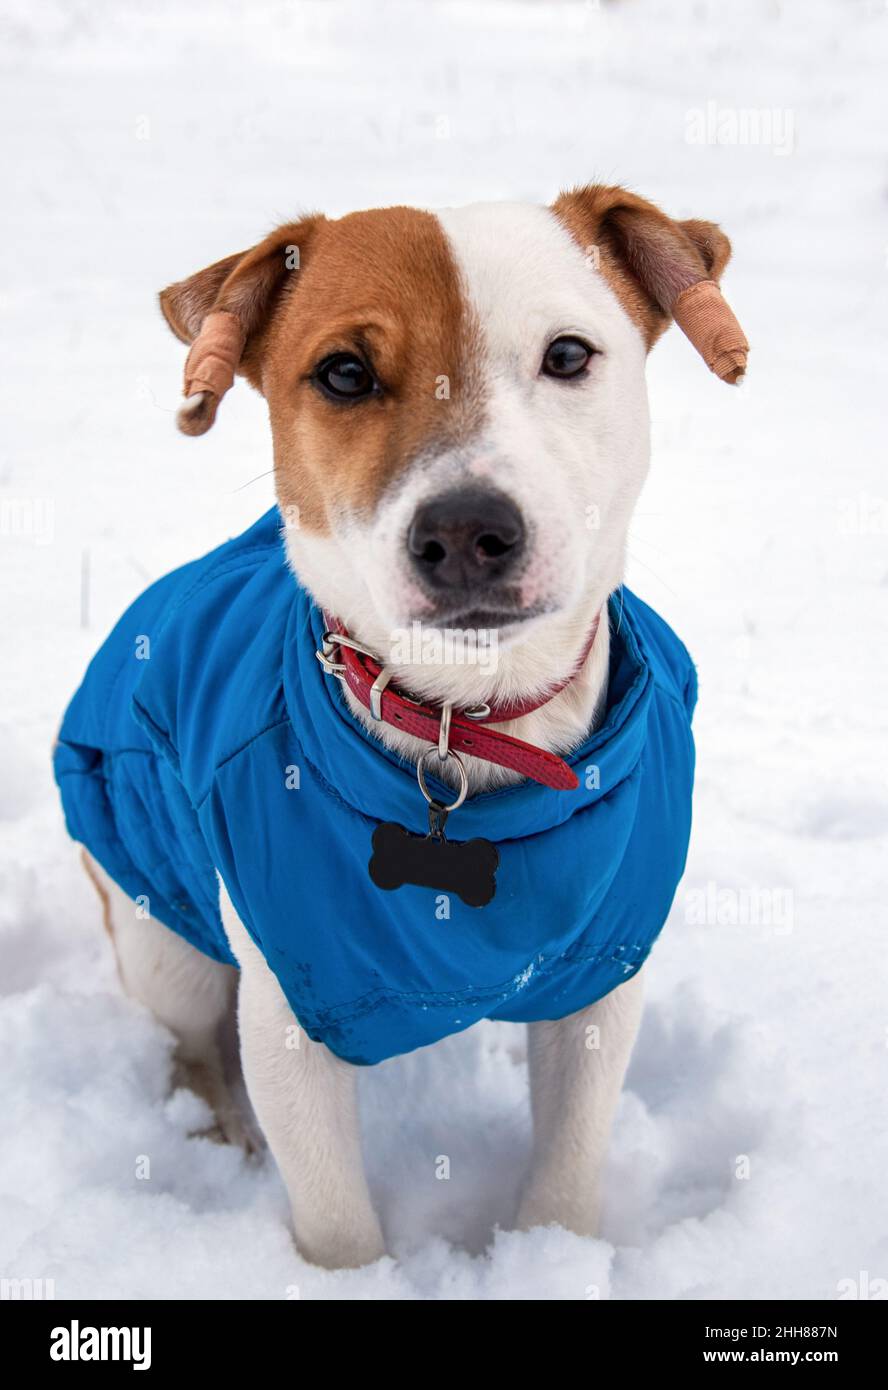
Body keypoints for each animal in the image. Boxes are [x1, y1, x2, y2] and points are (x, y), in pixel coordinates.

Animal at [55, 187, 744, 1273]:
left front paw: (548, 1258)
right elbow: (335, 1214)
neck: (467, 725)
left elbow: (568, 1166)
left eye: (567, 354)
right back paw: (219, 1134)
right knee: (188, 1043)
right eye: (344, 371)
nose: (466, 530)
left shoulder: (599, 983)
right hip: (160, 936)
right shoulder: (291, 1009)